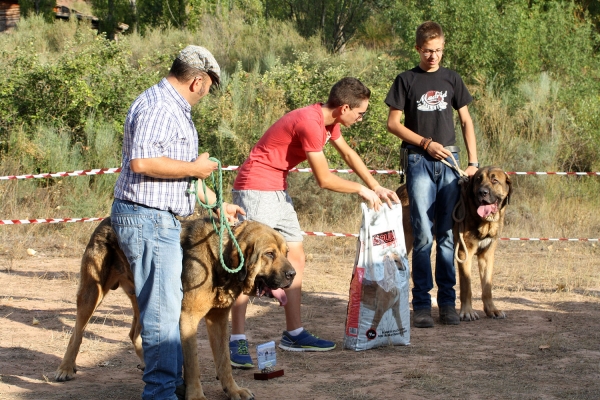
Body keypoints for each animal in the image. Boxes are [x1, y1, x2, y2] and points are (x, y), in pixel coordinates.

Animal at [398, 166, 510, 322]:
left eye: (494, 180)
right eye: (478, 180)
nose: (482, 192)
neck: (484, 221)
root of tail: (400, 190)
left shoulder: (487, 255)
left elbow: (487, 287)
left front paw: (492, 310)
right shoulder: (464, 253)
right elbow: (466, 286)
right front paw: (467, 312)